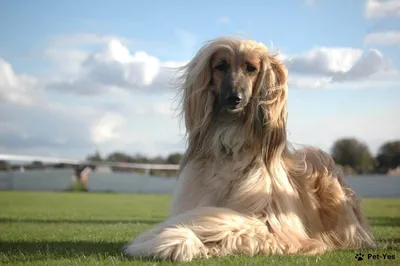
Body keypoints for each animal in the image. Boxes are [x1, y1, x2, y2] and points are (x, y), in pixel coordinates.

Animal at [123, 37, 376, 262]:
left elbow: (220, 221)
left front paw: (169, 239)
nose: (235, 98)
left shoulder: (275, 227)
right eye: (221, 66)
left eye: (251, 68)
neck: (230, 149)